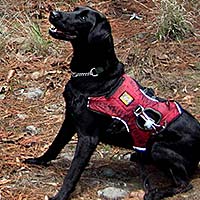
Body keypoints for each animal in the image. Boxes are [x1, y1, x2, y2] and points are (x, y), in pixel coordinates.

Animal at [25, 6, 200, 200]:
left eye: (83, 18)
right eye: (75, 9)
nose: (54, 13)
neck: (93, 74)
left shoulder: (88, 137)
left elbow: (73, 172)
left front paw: (61, 195)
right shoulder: (69, 120)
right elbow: (55, 145)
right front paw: (39, 160)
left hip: (158, 147)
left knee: (184, 184)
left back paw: (155, 192)